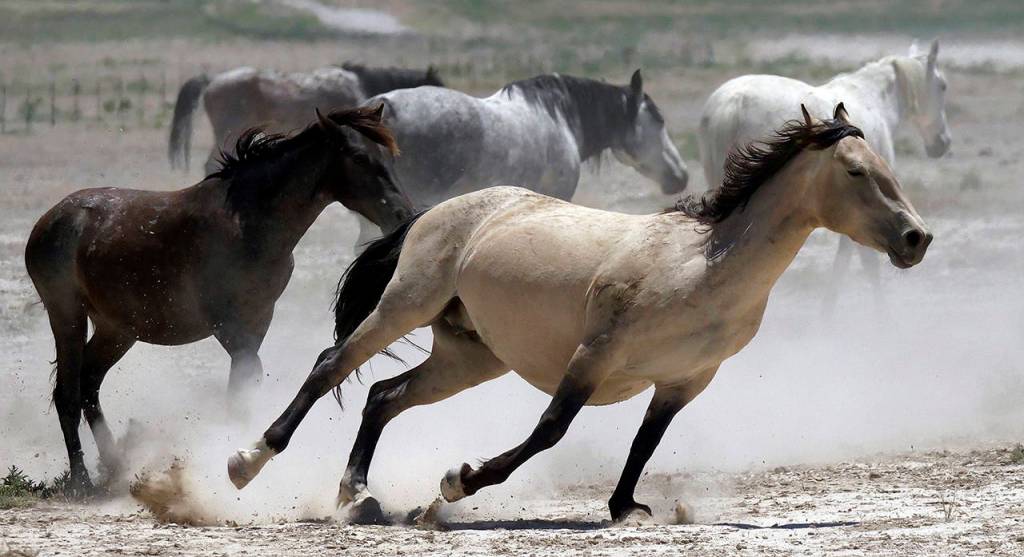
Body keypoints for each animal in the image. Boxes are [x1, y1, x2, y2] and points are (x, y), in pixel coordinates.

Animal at [26, 105, 411, 496]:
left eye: (388, 158)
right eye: (360, 157)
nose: (401, 214)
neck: (251, 223)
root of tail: (49, 219)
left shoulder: (258, 320)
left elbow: (244, 387)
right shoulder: (229, 327)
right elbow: (241, 388)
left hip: (116, 330)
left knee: (89, 384)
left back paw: (116, 467)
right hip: (67, 315)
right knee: (68, 394)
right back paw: (81, 481)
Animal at [227, 103, 933, 523]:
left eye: (885, 165)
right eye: (855, 171)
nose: (916, 239)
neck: (705, 267)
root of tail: (434, 212)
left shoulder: (683, 381)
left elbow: (646, 442)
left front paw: (626, 506)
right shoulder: (596, 355)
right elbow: (551, 429)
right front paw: (457, 483)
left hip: (470, 356)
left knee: (382, 395)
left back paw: (354, 494)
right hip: (405, 305)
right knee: (331, 364)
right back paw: (249, 460)